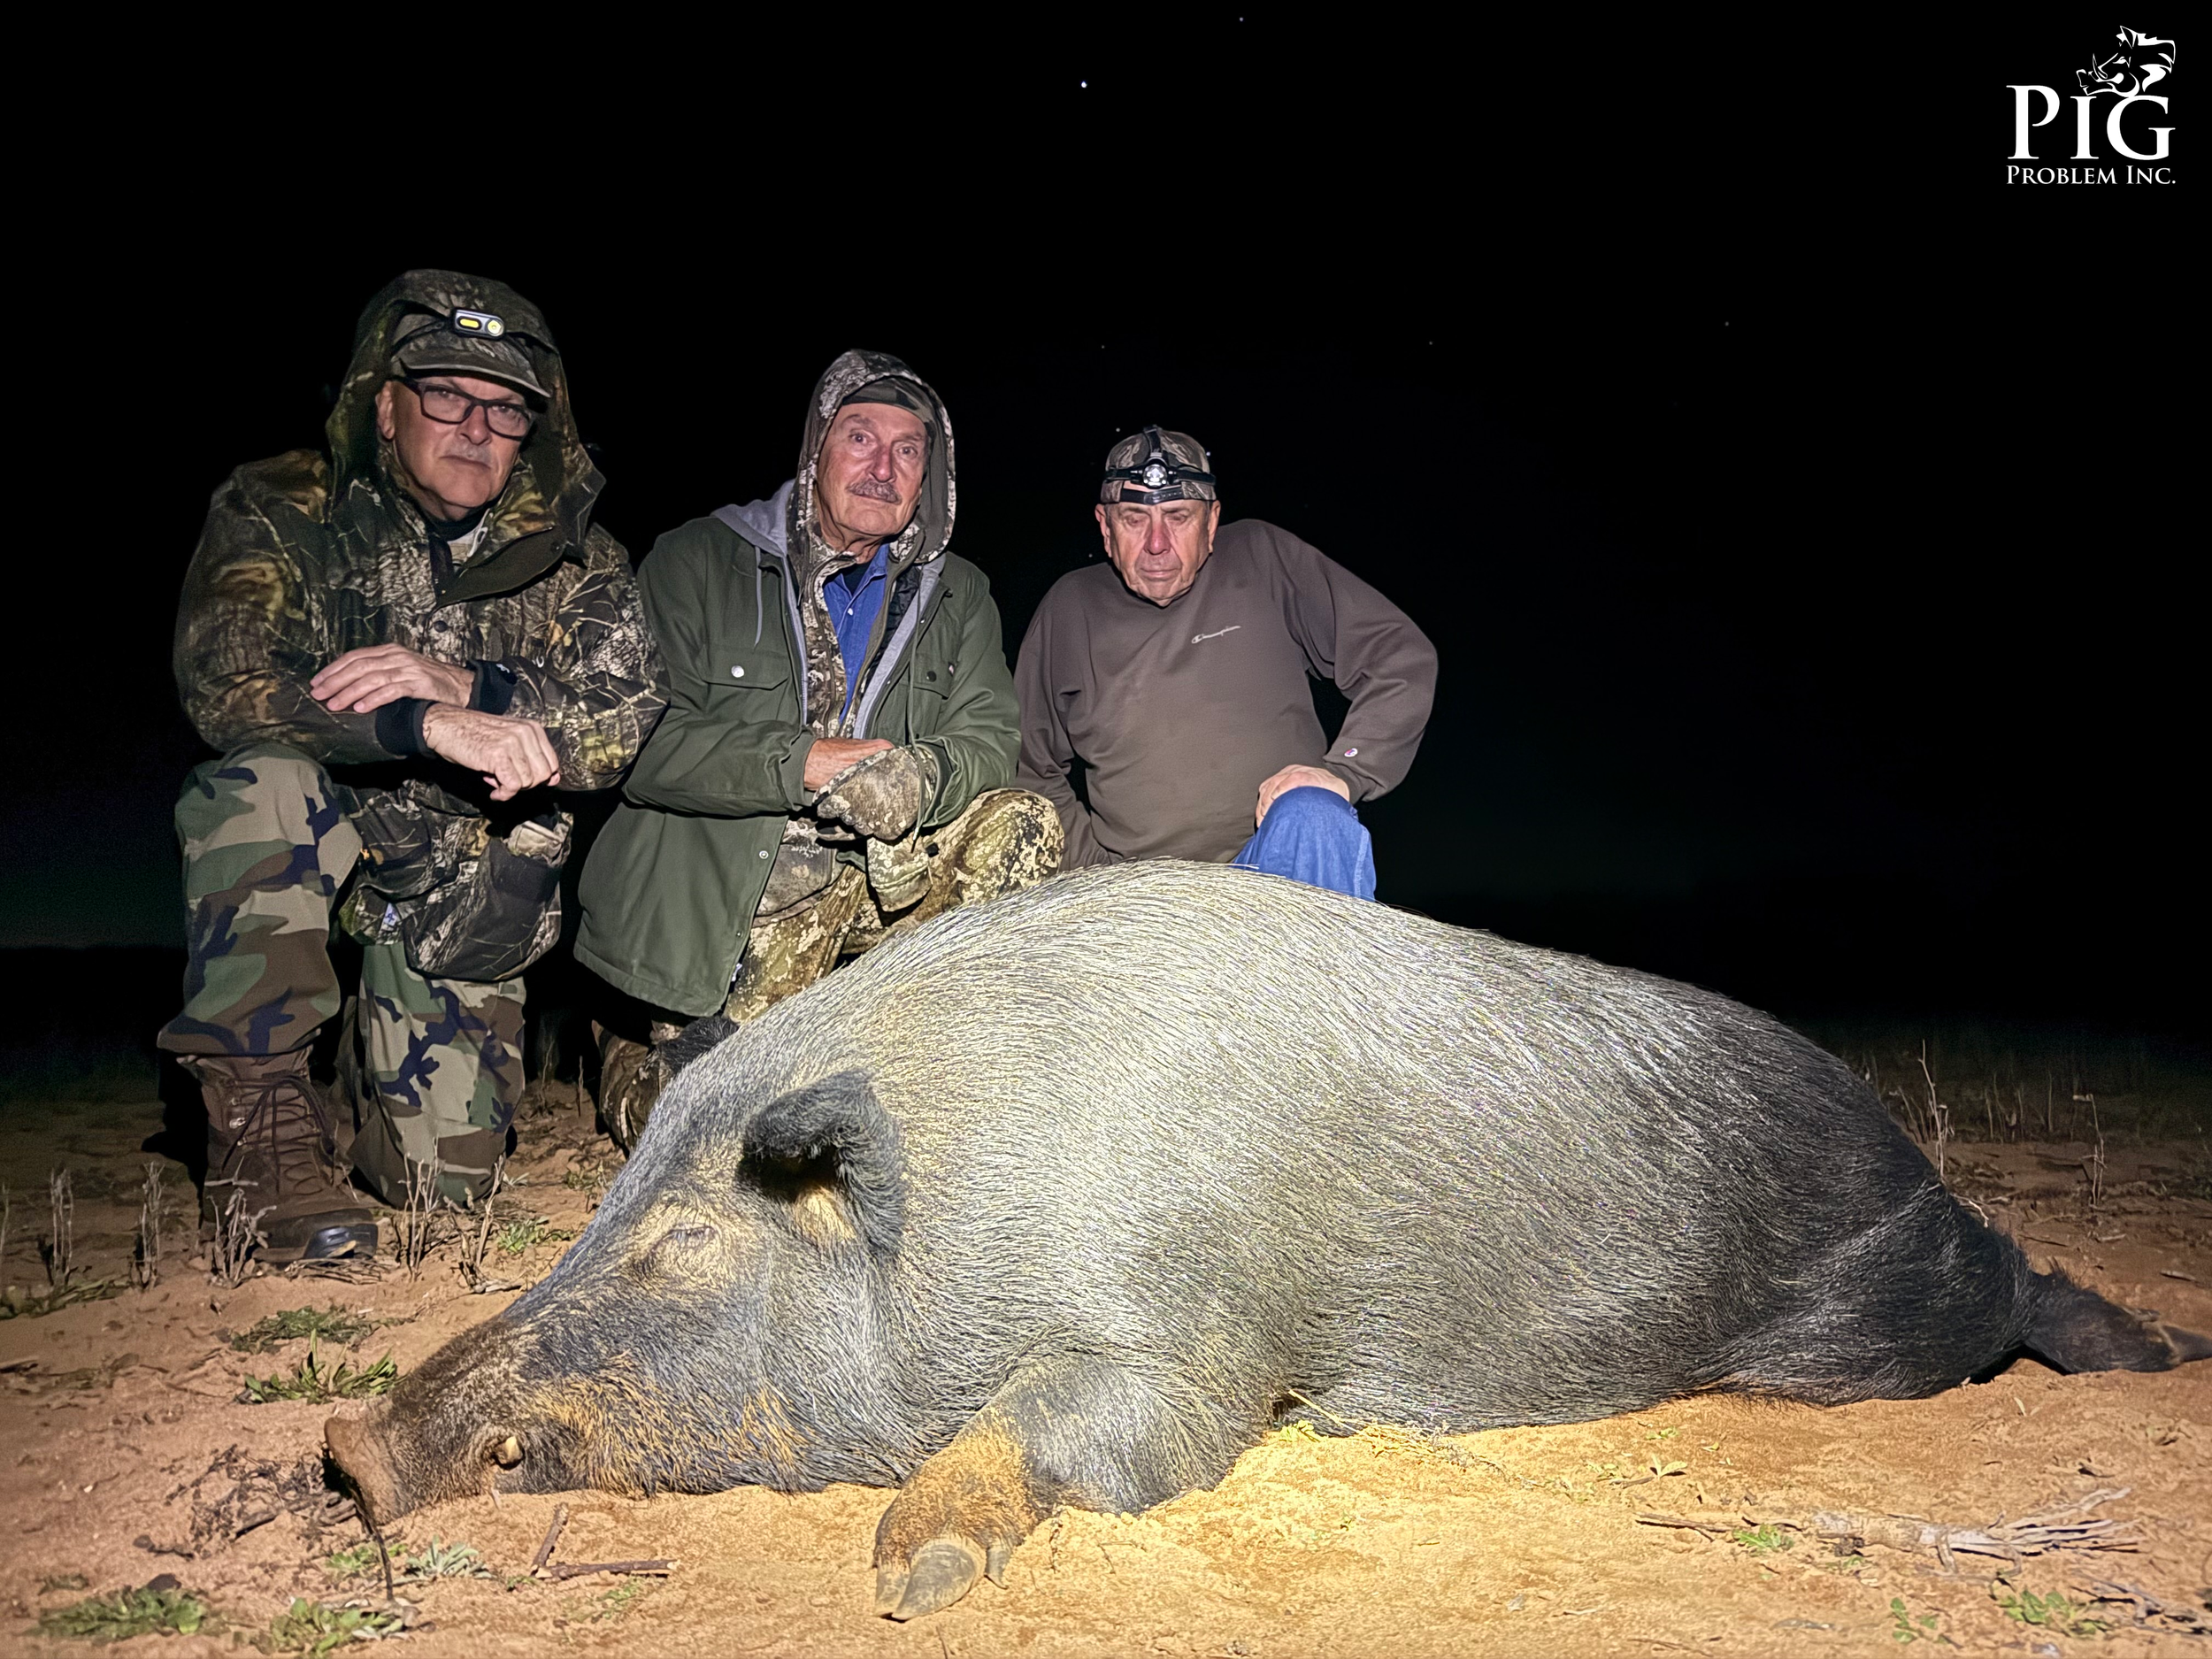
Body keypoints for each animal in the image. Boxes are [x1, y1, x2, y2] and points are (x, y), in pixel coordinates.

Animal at [325, 862, 2209, 1620]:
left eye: (678, 1251)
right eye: (602, 1210)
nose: (347, 1449)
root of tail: (1894, 1136)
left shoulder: (1197, 1348)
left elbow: (1074, 1431)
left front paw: (910, 1576)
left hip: (1879, 1306)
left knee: (2014, 1291)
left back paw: (2156, 1353)